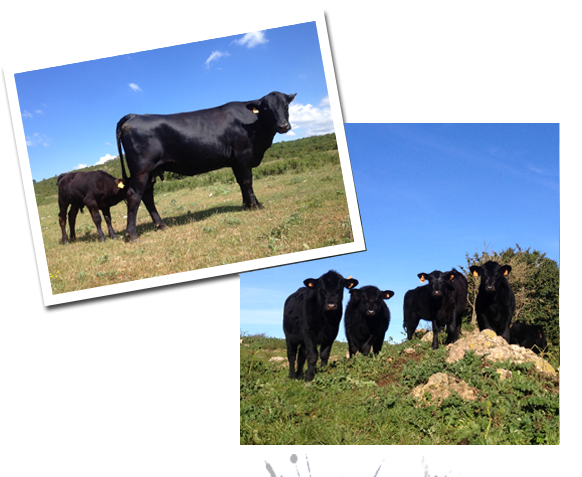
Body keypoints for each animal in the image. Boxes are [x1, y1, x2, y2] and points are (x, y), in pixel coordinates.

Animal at [116, 89, 296, 240]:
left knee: (147, 196)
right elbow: (247, 181)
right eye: (266, 109)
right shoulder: (243, 155)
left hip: (151, 171)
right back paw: (132, 235)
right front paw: (255, 205)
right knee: (134, 195)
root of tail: (134, 115)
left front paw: (248, 204)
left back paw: (161, 225)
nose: (283, 126)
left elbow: (241, 183)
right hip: (141, 170)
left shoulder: (235, 161)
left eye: (285, 105)